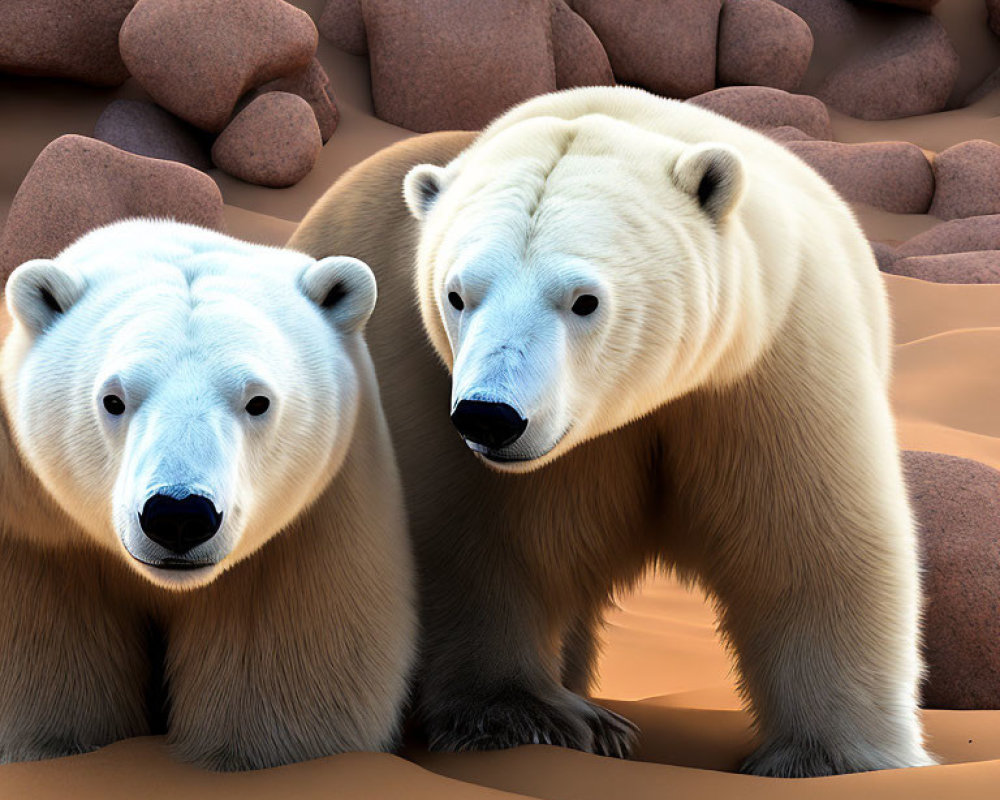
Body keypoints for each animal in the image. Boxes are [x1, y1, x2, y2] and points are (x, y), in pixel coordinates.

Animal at [292, 86, 932, 776]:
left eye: (583, 300)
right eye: (458, 295)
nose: (490, 415)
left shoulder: (762, 369)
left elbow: (806, 543)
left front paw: (832, 759)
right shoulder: (423, 377)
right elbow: (480, 542)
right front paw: (530, 718)